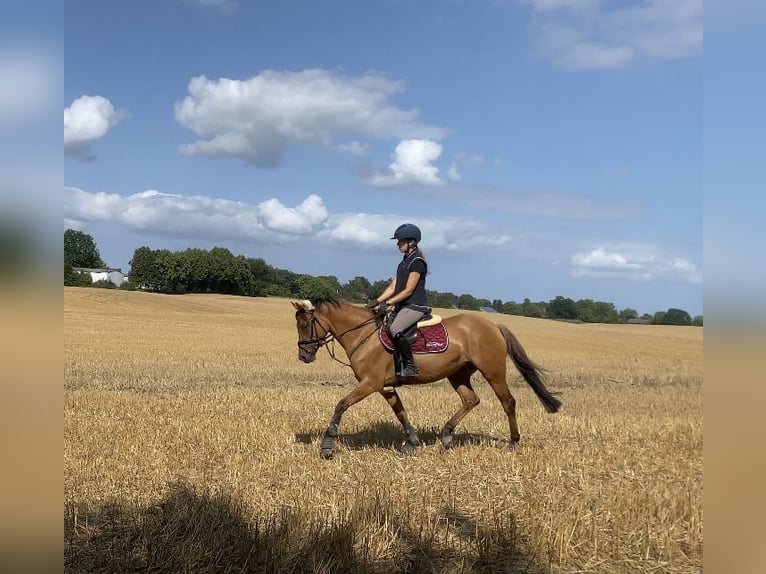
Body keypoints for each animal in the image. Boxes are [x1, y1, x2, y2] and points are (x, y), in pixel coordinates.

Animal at [292, 300, 560, 462]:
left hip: (493, 372)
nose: (304, 356)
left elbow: (341, 405)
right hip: (458, 374)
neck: (363, 335)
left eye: (304, 324)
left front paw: (327, 445)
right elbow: (400, 412)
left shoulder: (370, 384)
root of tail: (493, 325)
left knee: (508, 402)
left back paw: (513, 442)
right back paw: (447, 435)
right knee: (471, 400)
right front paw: (411, 443)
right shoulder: (385, 387)